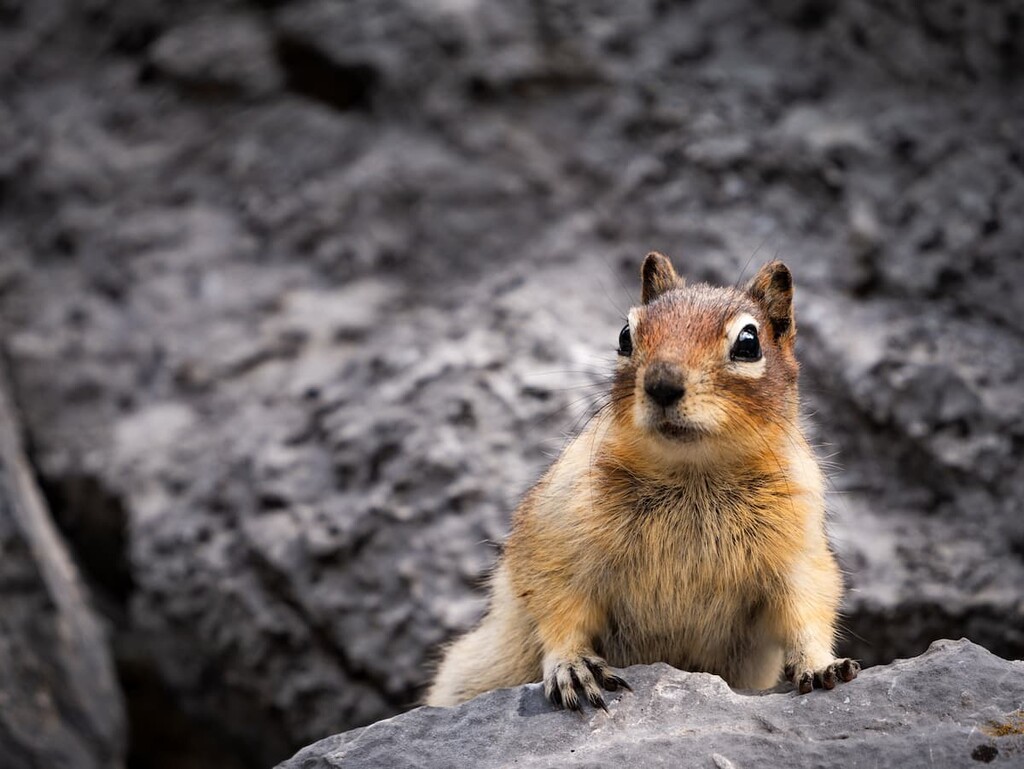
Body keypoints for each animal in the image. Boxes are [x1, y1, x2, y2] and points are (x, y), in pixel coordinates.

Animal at [426, 253, 859, 711]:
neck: (694, 475)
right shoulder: (556, 539)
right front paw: (573, 666)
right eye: (624, 336)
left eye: (748, 343)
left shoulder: (800, 552)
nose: (662, 384)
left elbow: (807, 609)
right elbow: (556, 606)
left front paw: (822, 665)